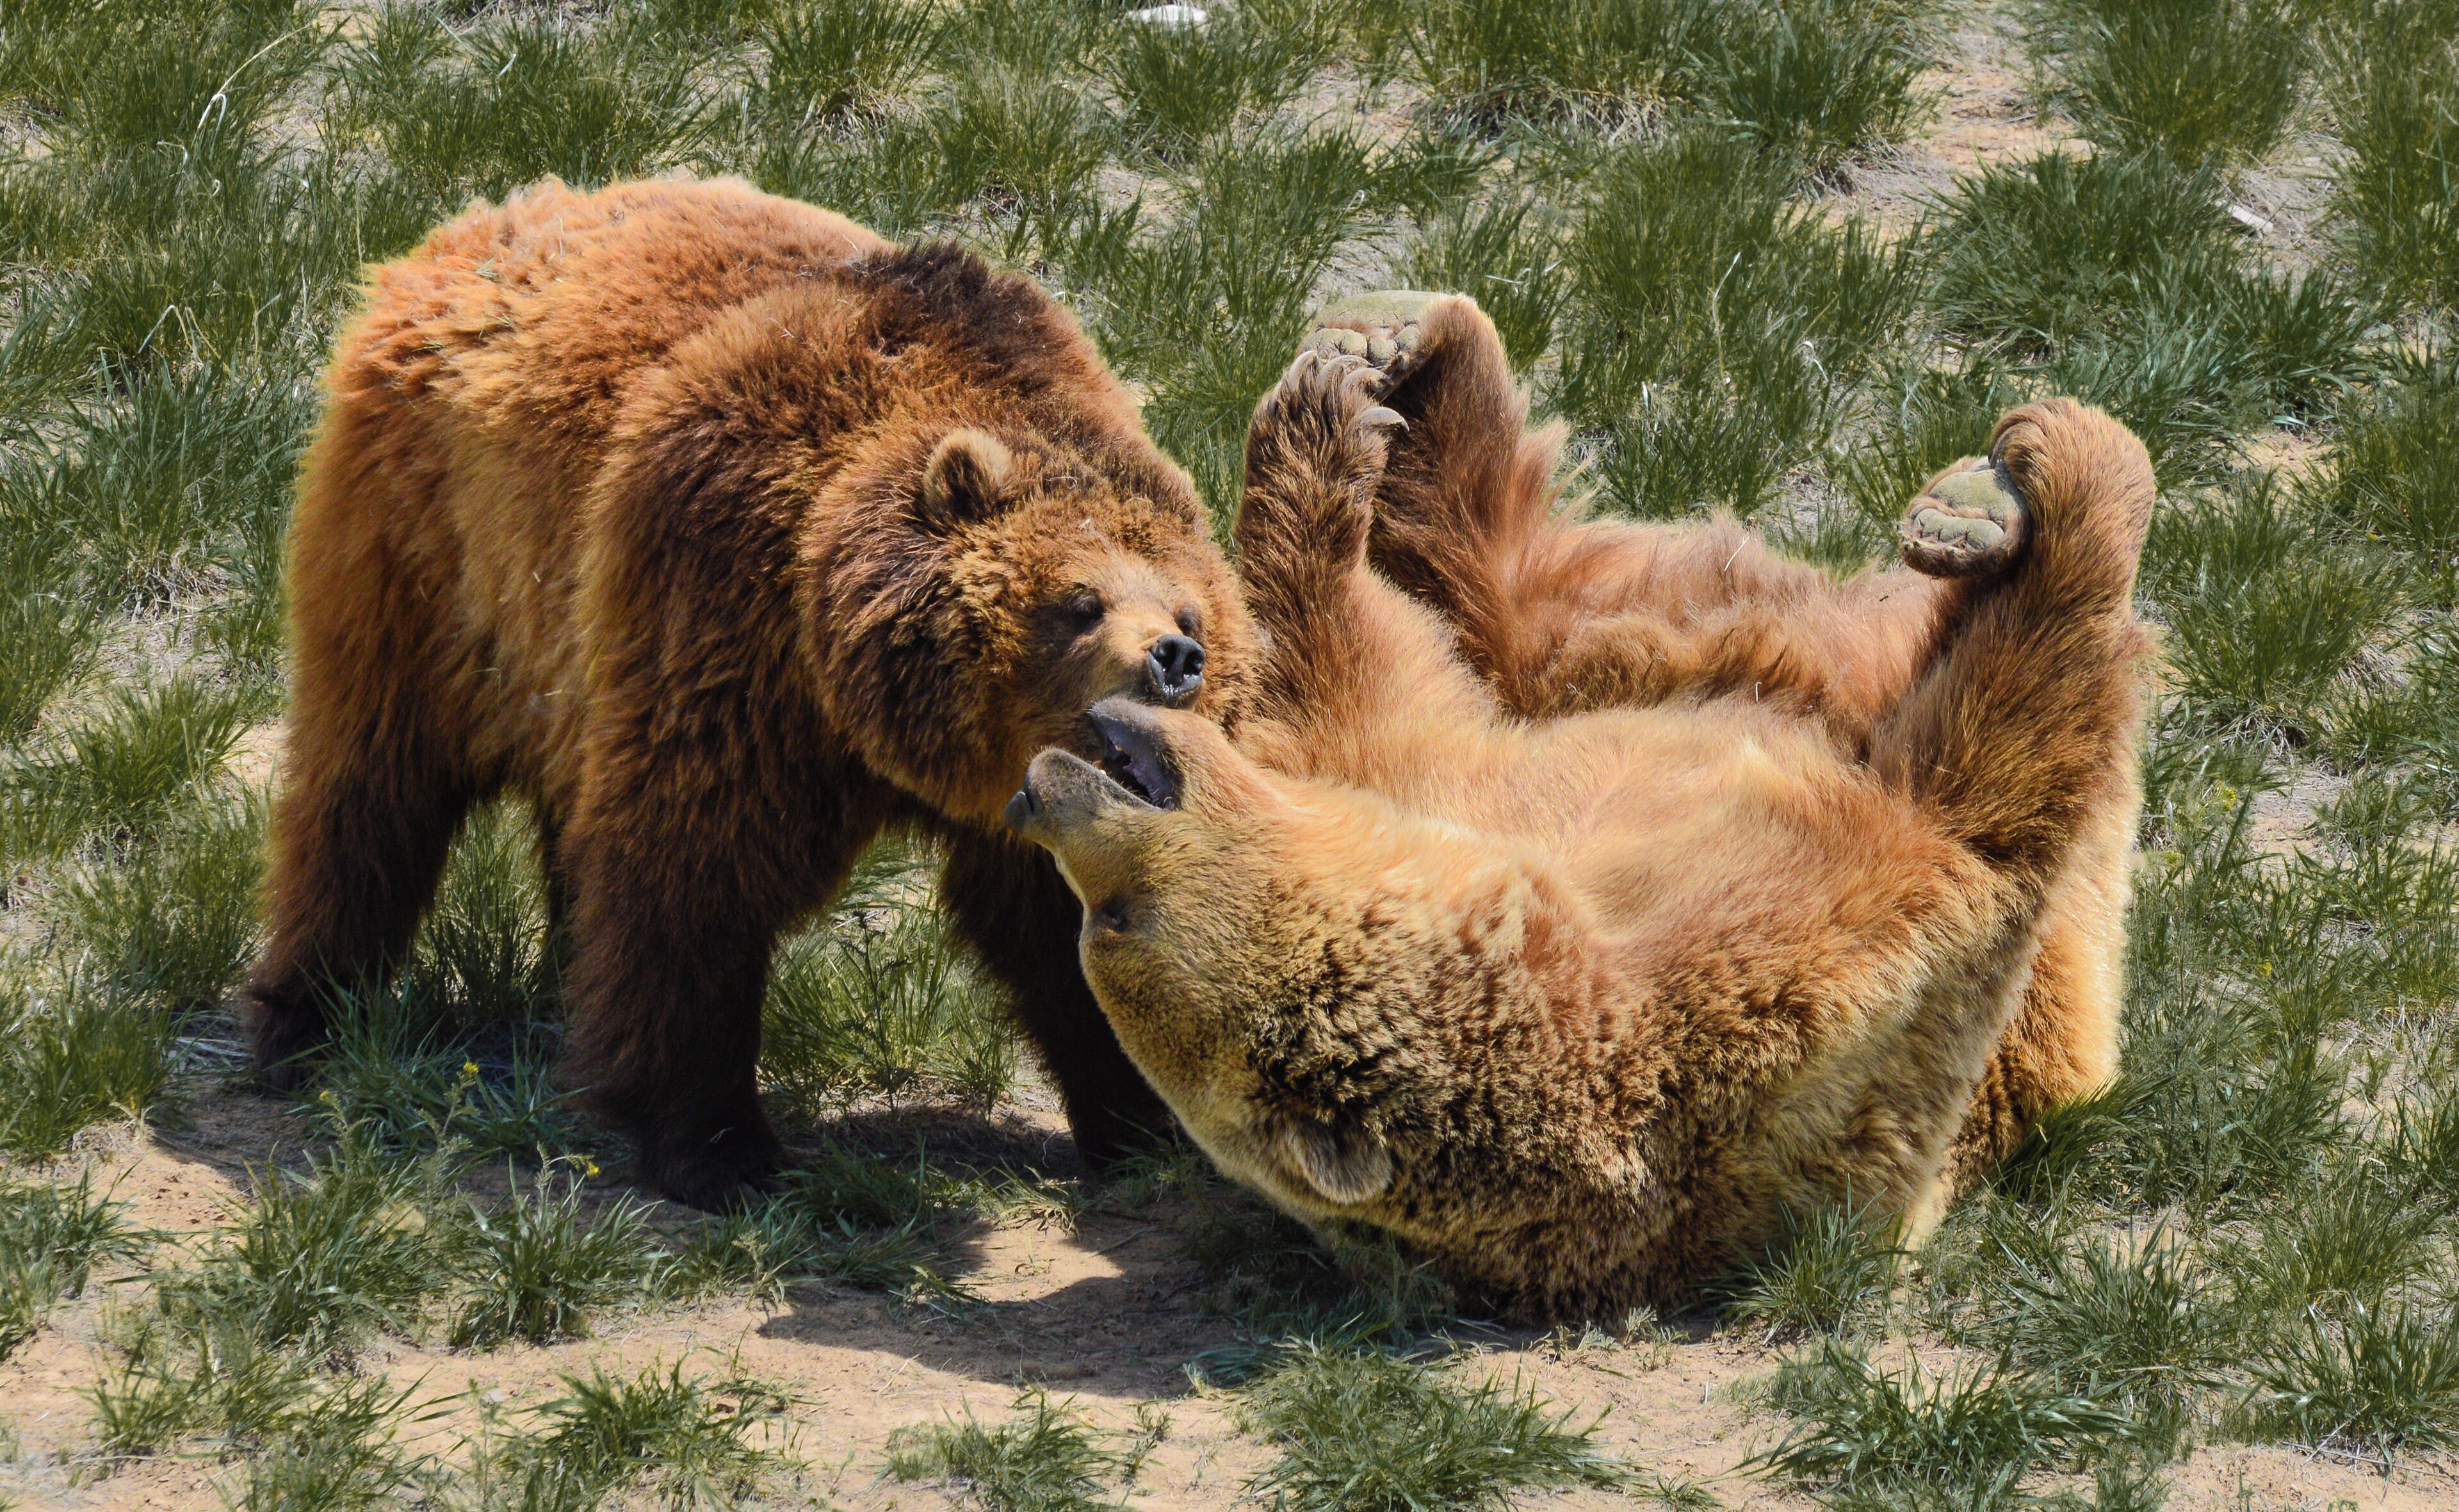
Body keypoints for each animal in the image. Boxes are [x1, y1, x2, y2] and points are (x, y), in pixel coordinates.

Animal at [244, 177, 1255, 1208]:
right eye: (1081, 601)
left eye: (1192, 609)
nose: (1175, 656)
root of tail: (461, 234)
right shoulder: (727, 617)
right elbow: (692, 874)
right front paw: (716, 1143)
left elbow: (1068, 920)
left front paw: (1146, 1121)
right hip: (430, 559)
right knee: (372, 786)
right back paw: (306, 1020)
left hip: (558, 652)